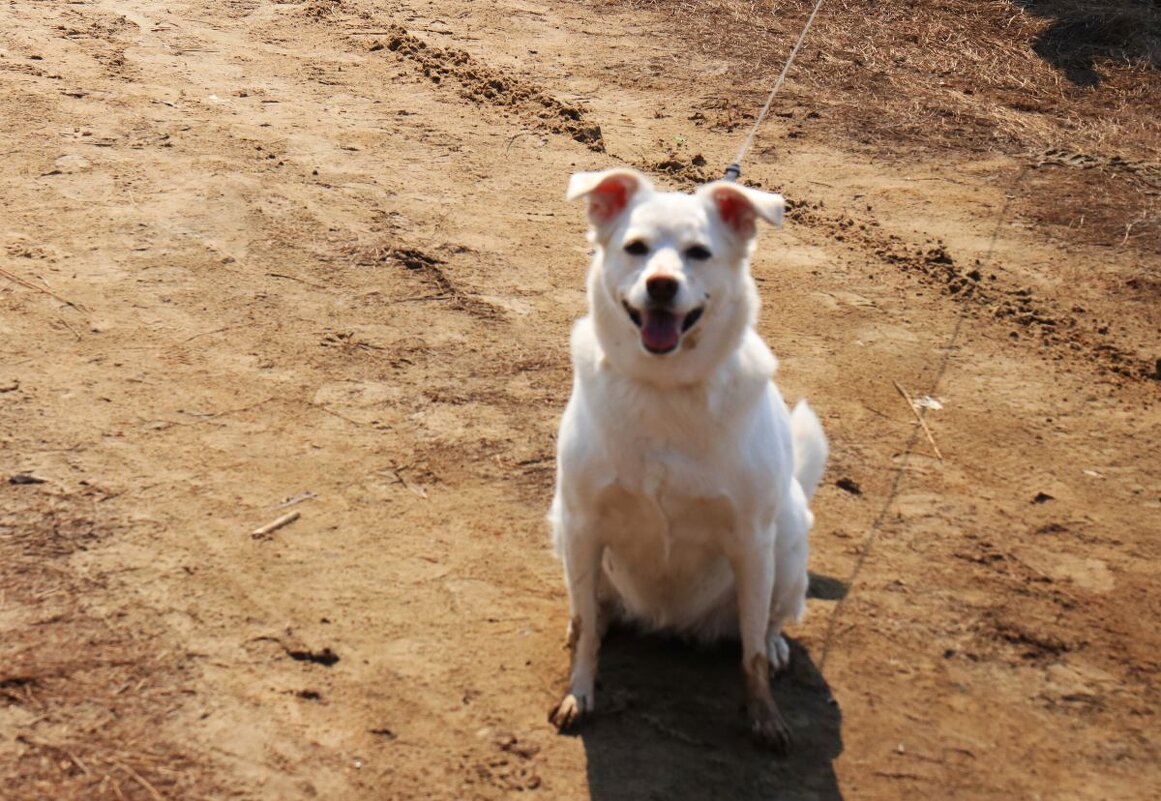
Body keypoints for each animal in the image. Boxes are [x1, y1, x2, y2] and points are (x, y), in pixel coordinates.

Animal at [545, 164, 826, 747]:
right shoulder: (583, 523)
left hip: (787, 544)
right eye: (635, 247)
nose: (661, 284)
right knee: (593, 610)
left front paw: (765, 717)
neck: (663, 388)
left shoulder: (751, 541)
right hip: (561, 526)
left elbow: (752, 652)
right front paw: (578, 692)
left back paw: (778, 646)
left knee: (767, 623)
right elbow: (586, 632)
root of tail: (673, 622)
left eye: (699, 253)